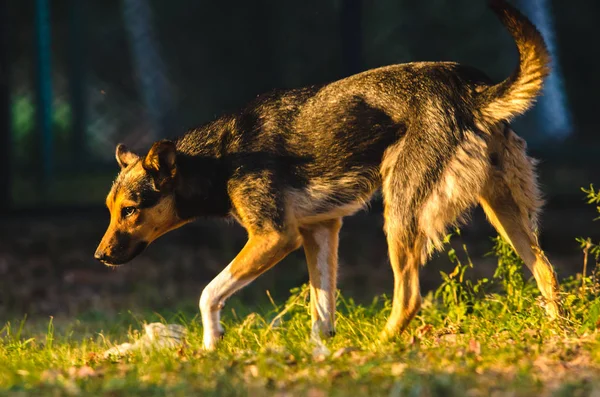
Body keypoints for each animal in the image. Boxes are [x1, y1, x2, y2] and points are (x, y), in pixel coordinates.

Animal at [95, 0, 564, 348]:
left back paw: (379, 347)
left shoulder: (273, 237)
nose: (99, 257)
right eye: (111, 210)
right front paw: (319, 356)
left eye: (131, 210)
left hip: (400, 217)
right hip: (505, 214)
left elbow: (208, 293)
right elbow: (321, 313)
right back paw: (560, 331)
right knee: (546, 270)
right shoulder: (319, 231)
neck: (222, 156)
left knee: (410, 296)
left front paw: (211, 344)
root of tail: (473, 91)